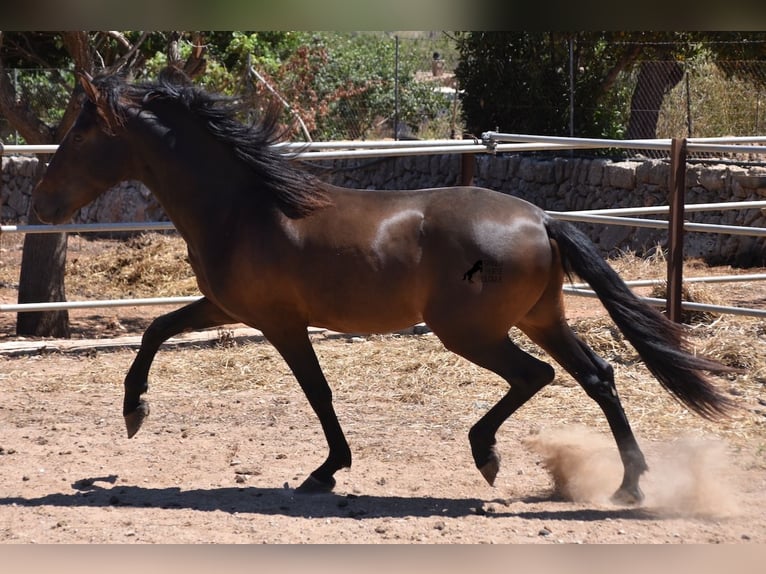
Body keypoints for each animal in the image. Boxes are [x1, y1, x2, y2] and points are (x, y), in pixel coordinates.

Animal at [31, 71, 736, 504]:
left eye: (82, 132)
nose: (41, 201)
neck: (246, 206)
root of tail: (541, 218)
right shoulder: (227, 307)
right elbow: (155, 328)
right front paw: (134, 412)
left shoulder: (280, 323)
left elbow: (318, 393)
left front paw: (325, 472)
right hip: (541, 318)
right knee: (598, 376)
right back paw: (628, 486)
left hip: (471, 332)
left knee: (536, 376)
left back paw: (487, 455)